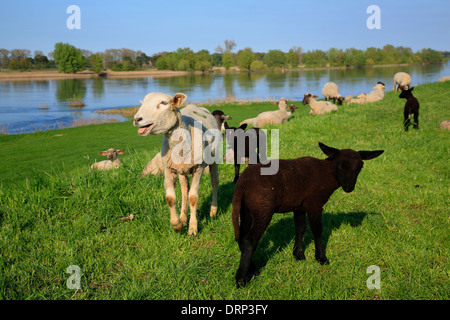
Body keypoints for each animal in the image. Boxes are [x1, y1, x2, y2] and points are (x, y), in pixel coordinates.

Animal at [132, 92, 220, 235]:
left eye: (163, 103)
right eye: (143, 102)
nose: (137, 119)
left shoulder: (199, 168)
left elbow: (193, 197)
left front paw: (193, 228)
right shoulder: (169, 169)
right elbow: (170, 198)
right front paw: (177, 224)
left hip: (214, 159)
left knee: (214, 182)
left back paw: (213, 210)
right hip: (181, 170)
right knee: (184, 189)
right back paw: (183, 217)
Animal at [232, 142, 384, 288]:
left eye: (360, 167)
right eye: (341, 165)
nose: (348, 188)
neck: (327, 174)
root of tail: (242, 183)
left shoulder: (299, 206)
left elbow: (300, 228)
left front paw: (298, 255)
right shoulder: (314, 204)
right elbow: (317, 230)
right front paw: (321, 258)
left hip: (246, 209)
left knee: (242, 237)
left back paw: (252, 269)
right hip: (263, 209)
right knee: (249, 240)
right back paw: (241, 280)